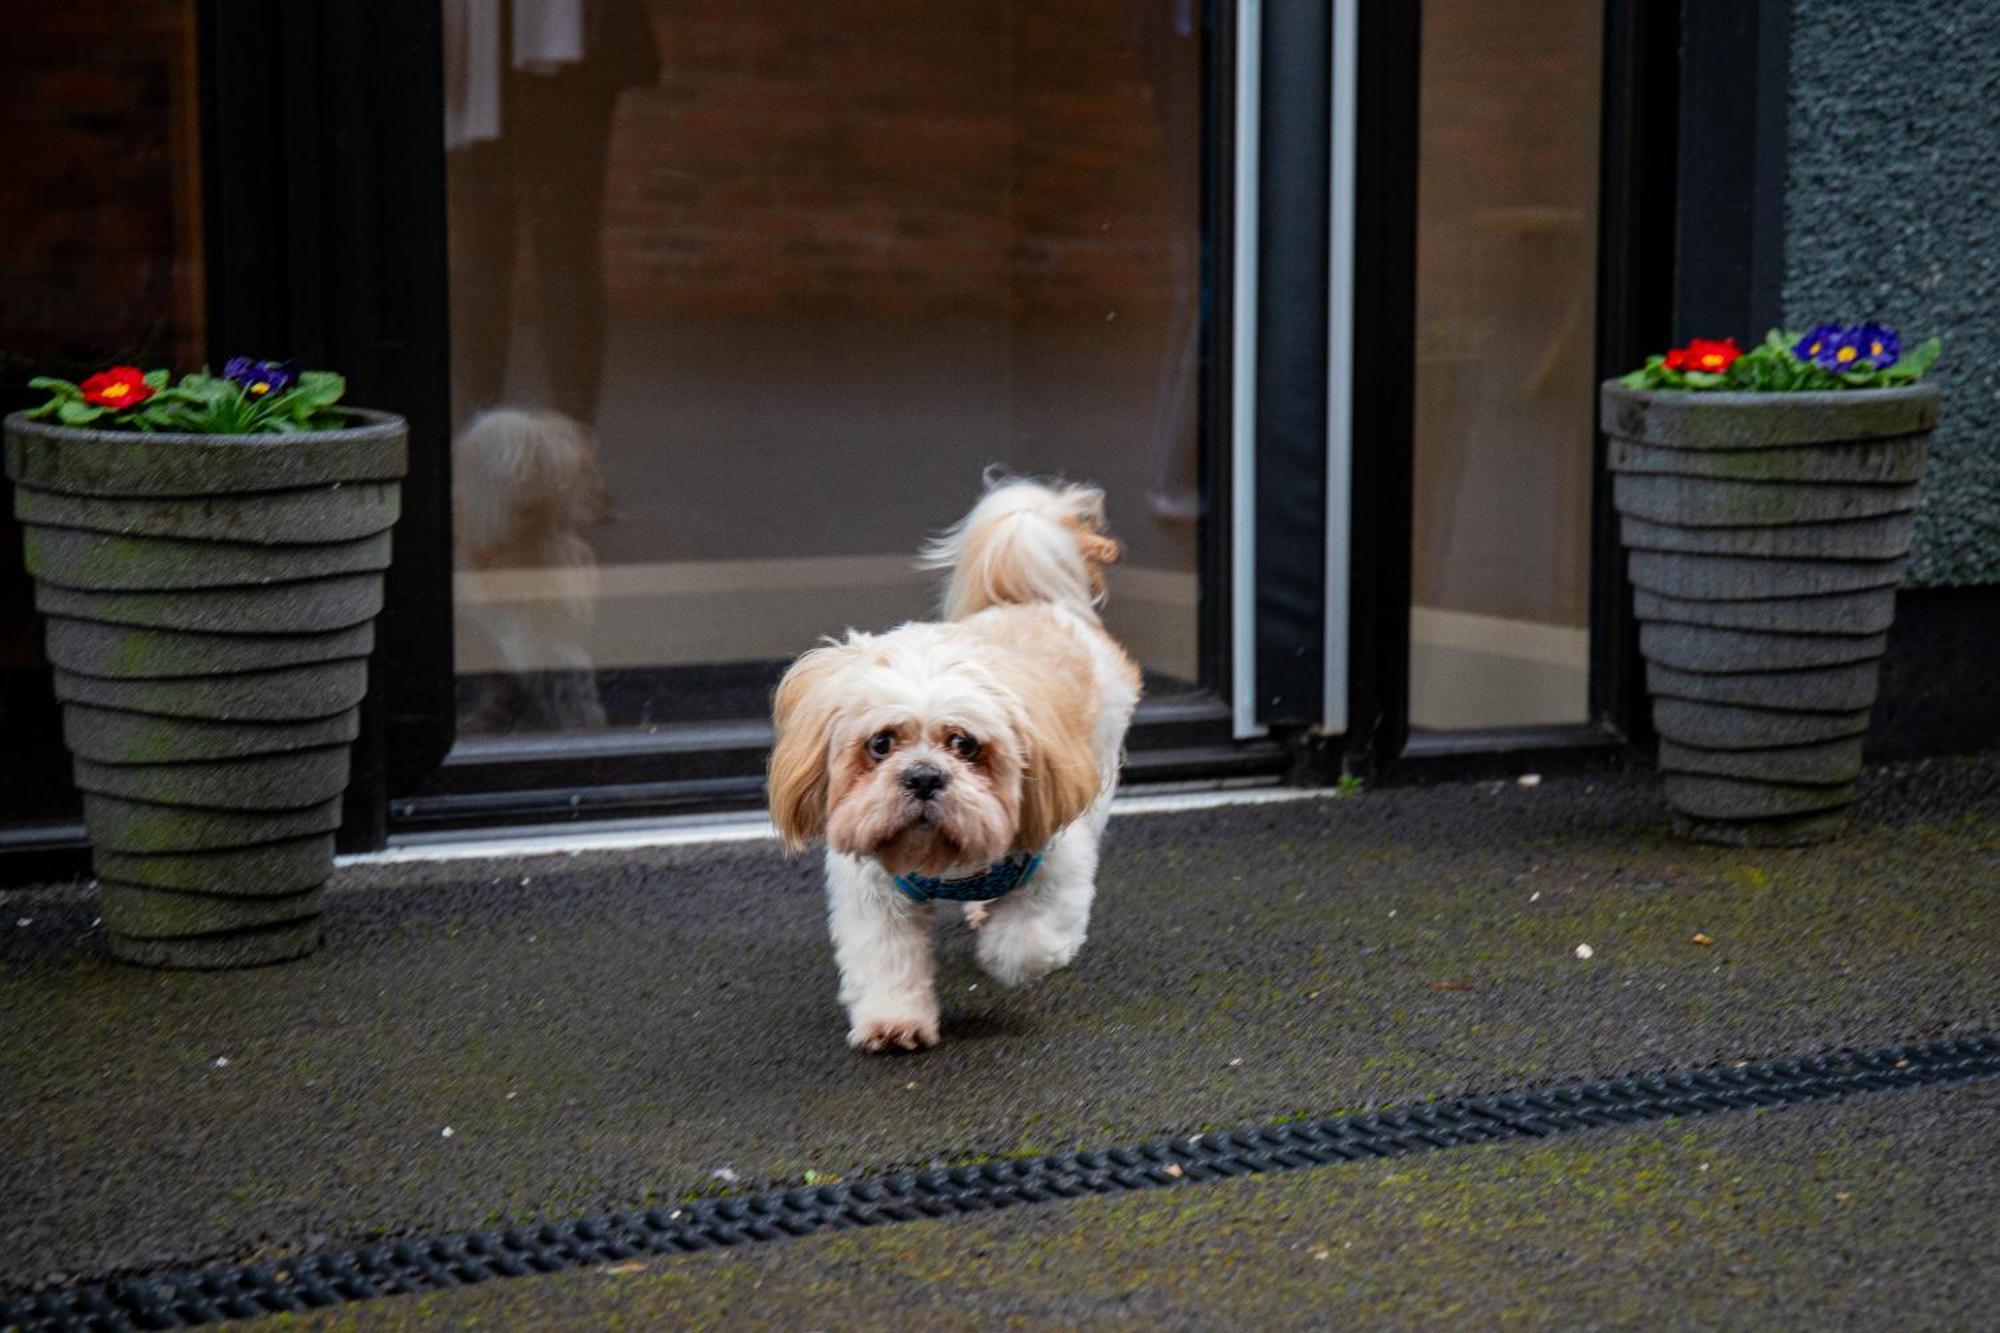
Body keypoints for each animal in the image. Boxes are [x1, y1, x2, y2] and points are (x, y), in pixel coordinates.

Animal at [768, 474, 1144, 1048]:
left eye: (965, 745)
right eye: (881, 744)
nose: (924, 776)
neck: (945, 864)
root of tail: (1034, 602)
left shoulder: (1060, 860)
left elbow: (1029, 937)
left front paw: (1004, 956)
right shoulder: (874, 893)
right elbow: (886, 960)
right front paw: (894, 1022)